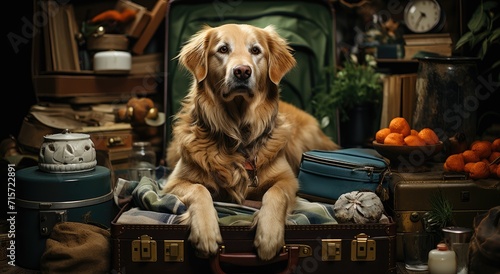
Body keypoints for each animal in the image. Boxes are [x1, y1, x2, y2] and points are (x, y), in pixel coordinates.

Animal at [162, 24, 338, 262]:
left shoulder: (289, 181)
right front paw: (206, 233)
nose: (242, 71)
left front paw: (269, 236)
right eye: (223, 49)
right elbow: (199, 189)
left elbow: (276, 193)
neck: (238, 134)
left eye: (255, 50)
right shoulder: (173, 182)